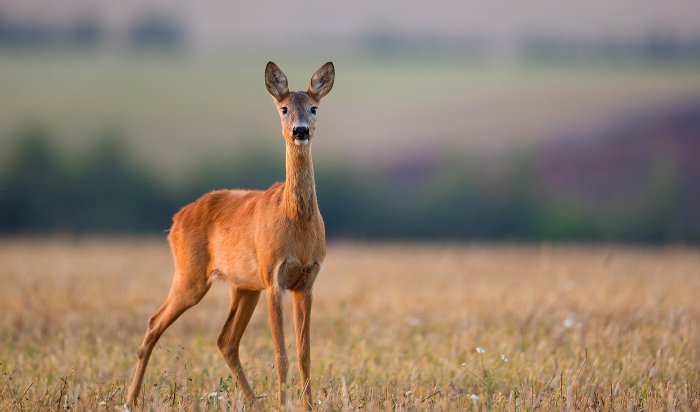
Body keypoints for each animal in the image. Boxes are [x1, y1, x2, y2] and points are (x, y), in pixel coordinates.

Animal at [127, 60, 334, 408]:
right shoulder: (273, 277)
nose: (300, 131)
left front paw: (306, 405)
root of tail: (176, 219)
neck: (296, 223)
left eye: (314, 108)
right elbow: (281, 355)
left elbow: (304, 355)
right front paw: (283, 404)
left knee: (225, 340)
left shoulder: (307, 282)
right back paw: (130, 399)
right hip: (192, 275)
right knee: (154, 322)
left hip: (243, 286)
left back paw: (254, 402)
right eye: (283, 108)